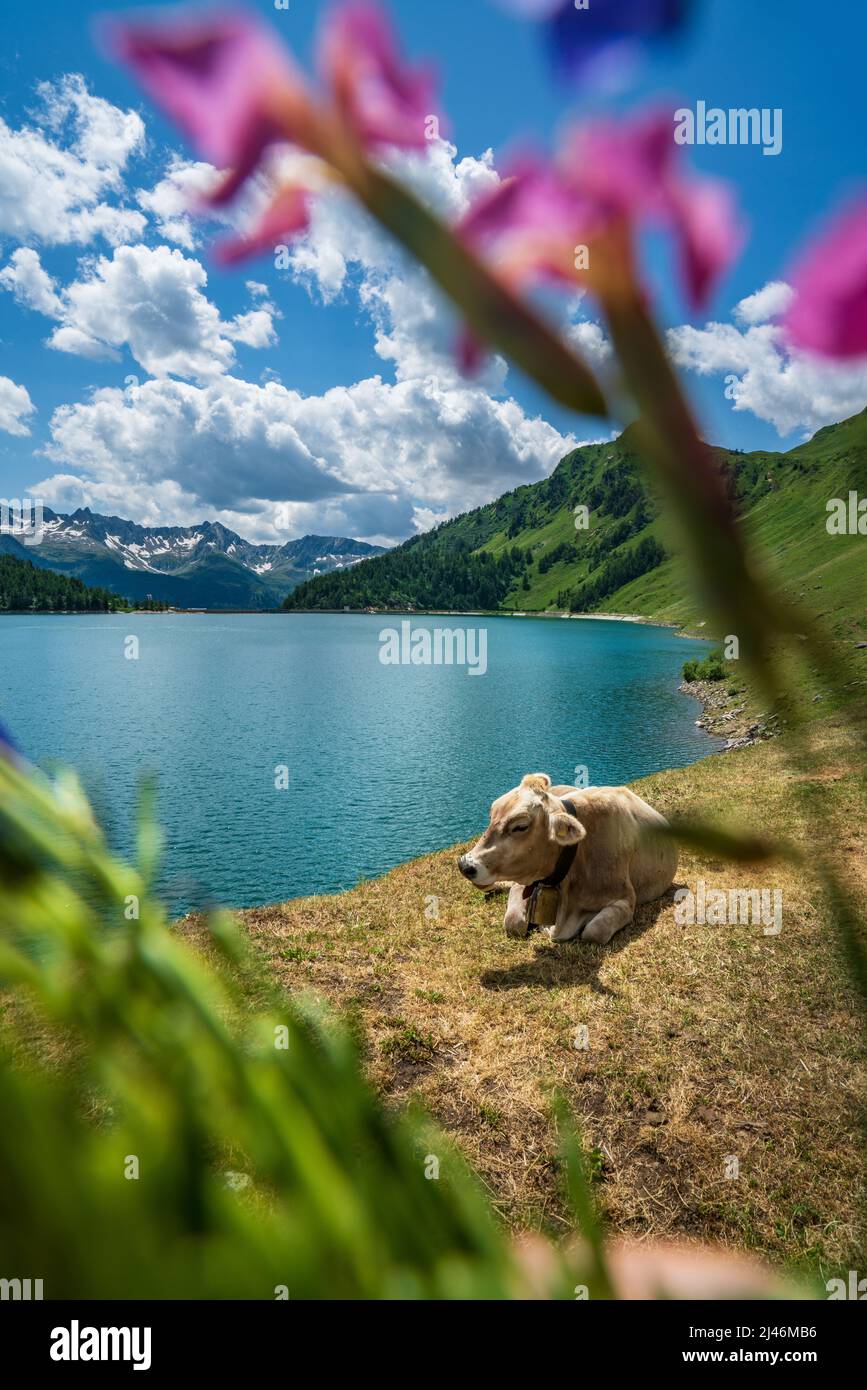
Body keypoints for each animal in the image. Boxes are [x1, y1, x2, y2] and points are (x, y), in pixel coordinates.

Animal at [457, 773, 677, 945]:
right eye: (492, 815)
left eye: (520, 826)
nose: (465, 865)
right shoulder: (525, 880)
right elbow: (514, 922)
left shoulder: (626, 900)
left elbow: (594, 931)